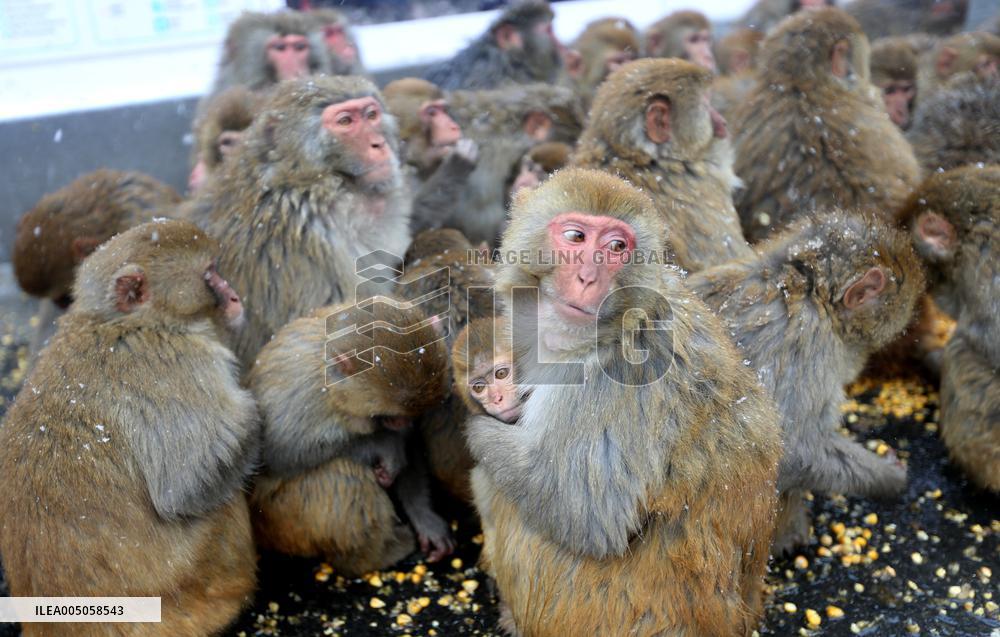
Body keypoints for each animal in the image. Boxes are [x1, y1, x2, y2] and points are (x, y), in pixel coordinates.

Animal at [0, 219, 259, 637]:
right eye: (210, 274)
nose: (235, 297)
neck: (119, 322)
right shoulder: (181, 365)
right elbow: (185, 487)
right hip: (200, 588)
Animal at [248, 297, 455, 572]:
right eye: (384, 415)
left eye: (412, 415)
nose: (402, 423)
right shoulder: (307, 396)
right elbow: (282, 453)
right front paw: (386, 448)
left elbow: (411, 446)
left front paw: (425, 519)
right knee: (342, 473)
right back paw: (376, 555)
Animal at [466, 168, 781, 636]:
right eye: (576, 236)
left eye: (616, 247)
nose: (588, 278)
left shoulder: (616, 378)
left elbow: (587, 514)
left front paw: (472, 428)